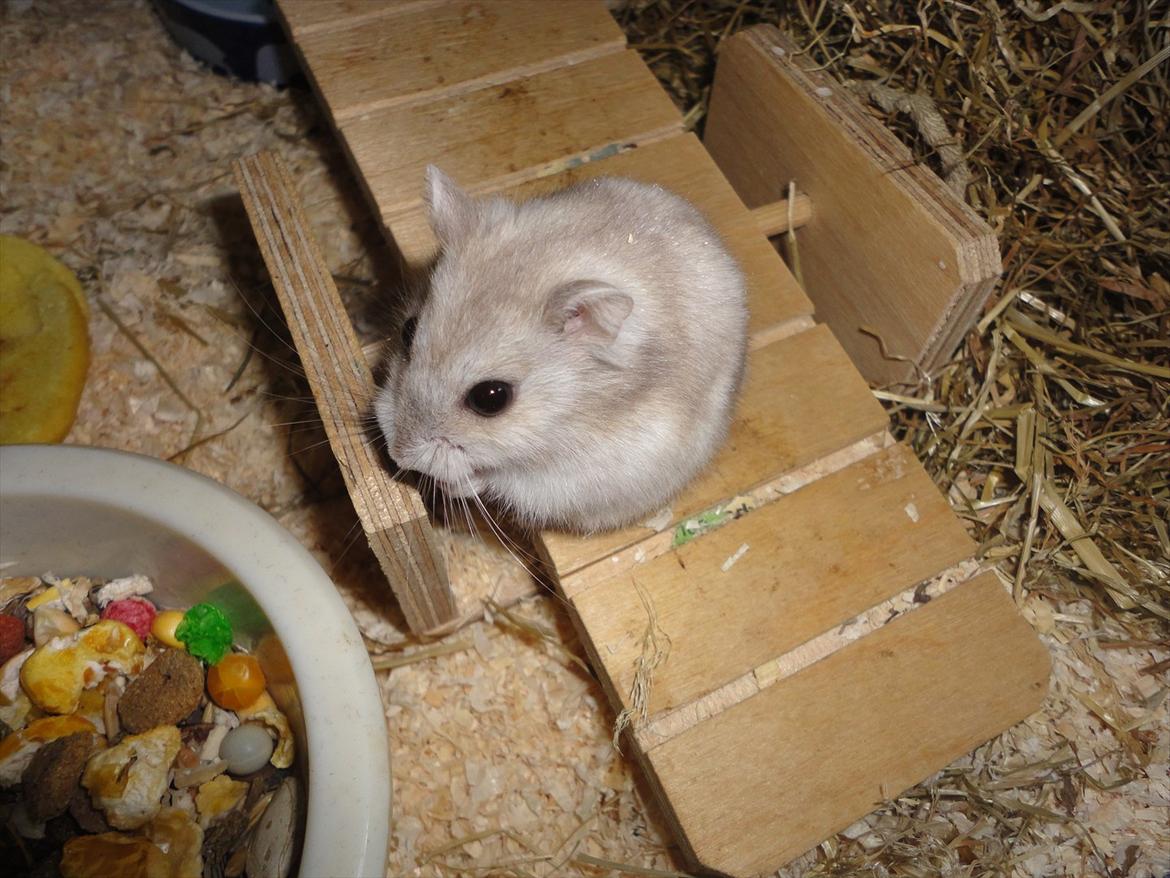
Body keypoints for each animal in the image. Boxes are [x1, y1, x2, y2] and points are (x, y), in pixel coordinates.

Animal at [374, 166, 748, 534]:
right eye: (407, 332)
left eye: (491, 397)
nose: (397, 455)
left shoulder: (585, 475)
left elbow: (500, 480)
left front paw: (452, 484)